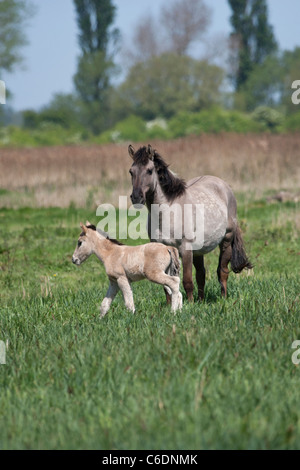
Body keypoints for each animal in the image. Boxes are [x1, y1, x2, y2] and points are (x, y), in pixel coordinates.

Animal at [126, 143, 251, 302]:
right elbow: (166, 284)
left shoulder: (185, 250)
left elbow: (187, 281)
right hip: (198, 250)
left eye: (149, 171)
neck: (168, 212)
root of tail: (224, 185)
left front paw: (190, 304)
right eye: (131, 171)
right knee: (201, 274)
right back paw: (201, 301)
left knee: (222, 272)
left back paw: (223, 298)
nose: (136, 197)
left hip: (226, 241)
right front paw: (170, 305)